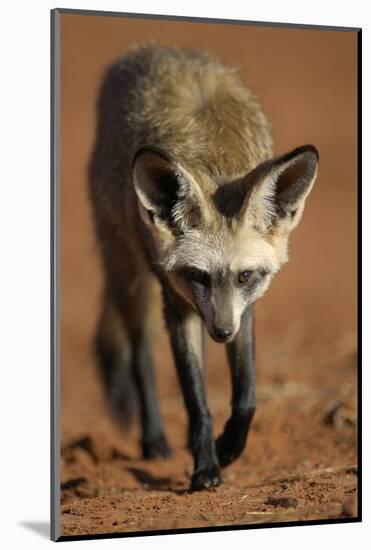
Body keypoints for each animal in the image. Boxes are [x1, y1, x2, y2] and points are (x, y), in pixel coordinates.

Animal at [90, 44, 320, 492]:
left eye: (246, 276)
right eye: (197, 275)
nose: (221, 332)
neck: (216, 158)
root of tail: (150, 49)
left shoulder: (245, 306)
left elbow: (246, 397)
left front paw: (230, 447)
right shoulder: (177, 302)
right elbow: (196, 400)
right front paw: (206, 467)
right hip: (128, 274)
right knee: (140, 356)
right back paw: (155, 439)